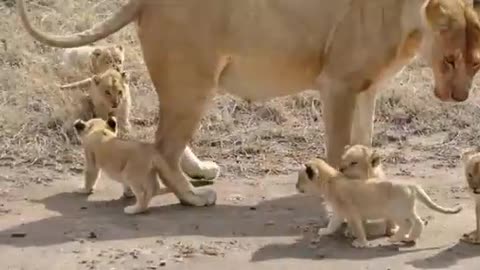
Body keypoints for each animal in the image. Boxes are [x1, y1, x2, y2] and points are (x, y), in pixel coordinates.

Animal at [17, 0, 480, 206]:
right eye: (450, 60)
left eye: (476, 62)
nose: (460, 97)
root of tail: (145, 0)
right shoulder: (338, 86)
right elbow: (338, 145)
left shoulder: (366, 90)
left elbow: (363, 141)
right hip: (194, 81)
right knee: (162, 147)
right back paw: (192, 196)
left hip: (188, 85)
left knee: (161, 139)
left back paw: (198, 171)